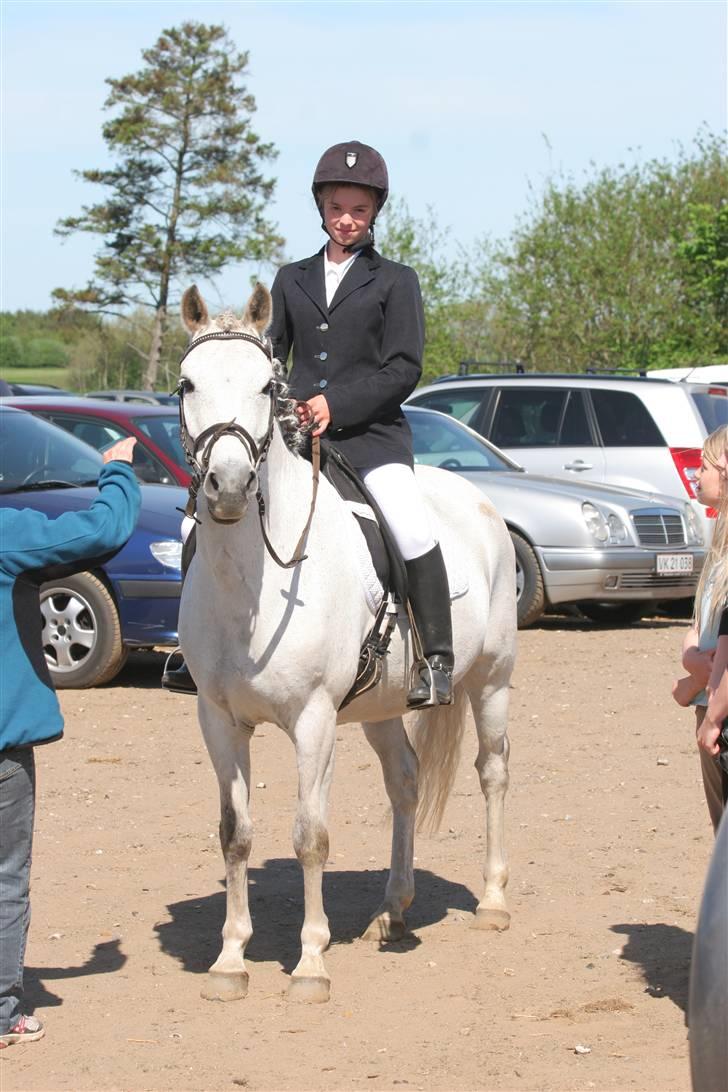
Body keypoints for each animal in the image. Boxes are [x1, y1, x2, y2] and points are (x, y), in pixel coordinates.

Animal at [176, 283, 517, 1004]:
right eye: (188, 384)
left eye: (266, 386)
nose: (228, 487)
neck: (252, 587)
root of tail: (476, 497)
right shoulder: (218, 720)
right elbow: (235, 834)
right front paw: (230, 960)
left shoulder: (313, 720)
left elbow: (310, 836)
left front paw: (310, 964)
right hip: (382, 707)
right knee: (405, 782)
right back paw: (392, 910)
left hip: (491, 680)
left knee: (493, 771)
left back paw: (494, 901)